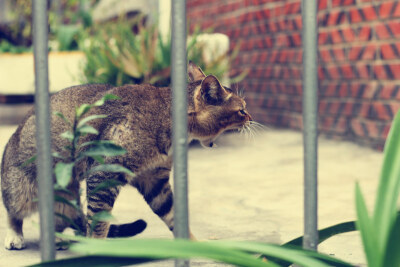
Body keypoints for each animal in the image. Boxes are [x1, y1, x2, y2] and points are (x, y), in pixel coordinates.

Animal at [1, 61, 253, 250]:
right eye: (241, 110)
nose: (251, 118)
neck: (165, 118)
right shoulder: (104, 174)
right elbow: (99, 222)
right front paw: (96, 250)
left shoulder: (155, 180)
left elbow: (172, 214)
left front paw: (192, 245)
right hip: (21, 191)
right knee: (14, 214)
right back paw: (15, 236)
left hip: (64, 202)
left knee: (62, 221)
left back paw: (59, 238)